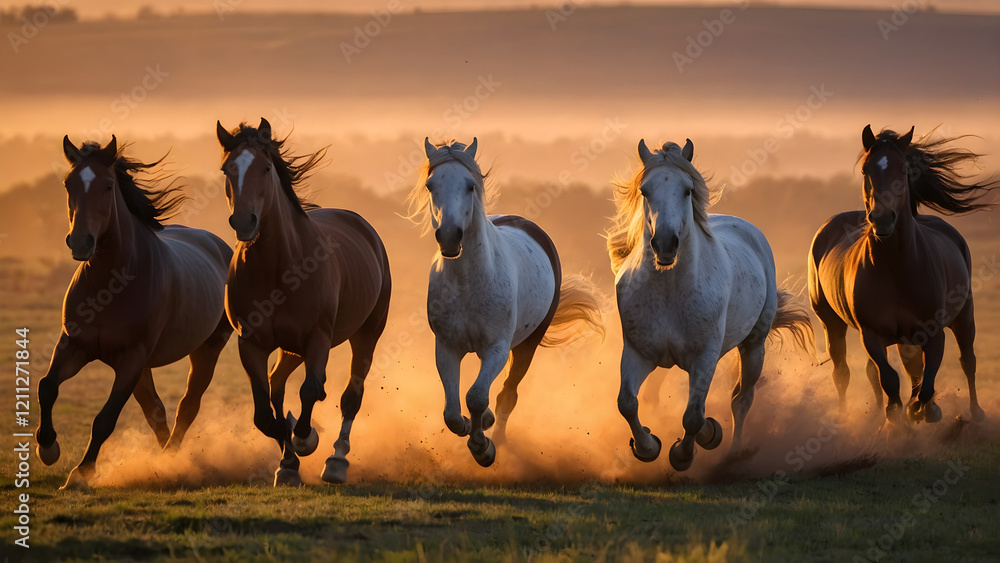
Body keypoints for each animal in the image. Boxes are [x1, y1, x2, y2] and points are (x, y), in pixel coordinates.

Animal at [35, 136, 233, 490]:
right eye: (69, 183)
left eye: (107, 185)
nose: (81, 242)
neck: (109, 286)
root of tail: (219, 245)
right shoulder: (73, 346)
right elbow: (47, 387)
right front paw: (48, 448)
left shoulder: (130, 359)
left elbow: (105, 419)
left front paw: (79, 474)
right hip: (144, 366)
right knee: (156, 411)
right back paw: (164, 461)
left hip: (206, 349)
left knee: (187, 406)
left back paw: (171, 461)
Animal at [217, 118, 391, 486]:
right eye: (227, 169)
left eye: (266, 168)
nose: (244, 222)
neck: (278, 267)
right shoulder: (251, 343)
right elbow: (264, 413)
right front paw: (288, 461)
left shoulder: (317, 338)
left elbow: (311, 391)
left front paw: (305, 439)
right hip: (289, 348)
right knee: (278, 384)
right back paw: (289, 460)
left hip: (366, 334)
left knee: (351, 396)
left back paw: (336, 461)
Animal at [407, 138, 604, 467]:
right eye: (430, 185)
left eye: (471, 186)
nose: (449, 237)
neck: (468, 284)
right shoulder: (447, 347)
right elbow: (452, 414)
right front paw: (470, 427)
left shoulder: (496, 349)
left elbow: (476, 396)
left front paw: (482, 448)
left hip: (527, 344)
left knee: (508, 394)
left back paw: (495, 436)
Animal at [608, 139, 814, 472]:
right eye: (645, 190)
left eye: (687, 190)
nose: (665, 244)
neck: (669, 293)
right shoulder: (638, 353)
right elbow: (627, 403)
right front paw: (648, 446)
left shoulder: (705, 358)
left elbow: (694, 416)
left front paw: (688, 450)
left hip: (754, 346)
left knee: (741, 399)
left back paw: (733, 454)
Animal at [808, 125, 997, 424]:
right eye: (866, 169)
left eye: (902, 168)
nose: (883, 219)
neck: (897, 268)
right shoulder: (872, 335)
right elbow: (890, 378)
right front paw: (893, 421)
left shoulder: (933, 332)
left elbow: (928, 379)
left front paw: (925, 410)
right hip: (831, 322)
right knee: (844, 372)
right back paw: (850, 416)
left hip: (964, 315)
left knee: (967, 360)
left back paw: (976, 413)